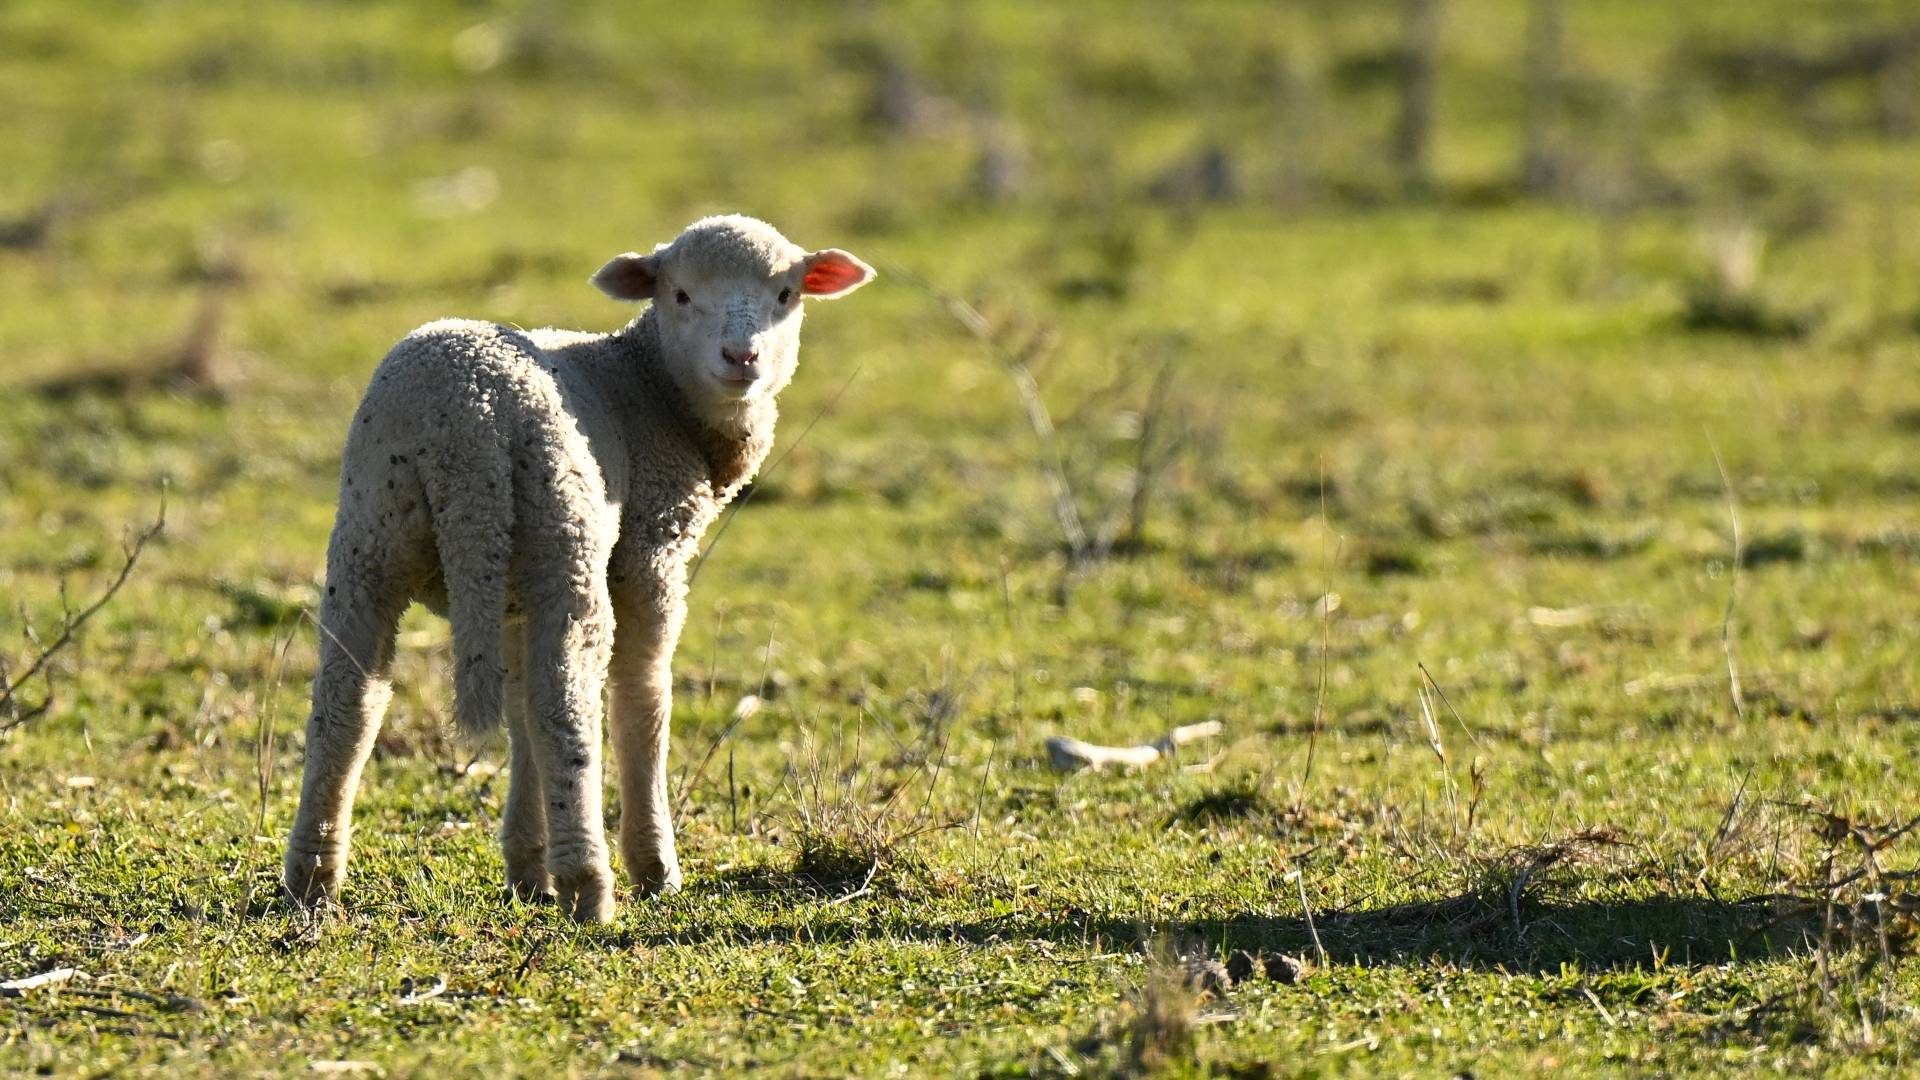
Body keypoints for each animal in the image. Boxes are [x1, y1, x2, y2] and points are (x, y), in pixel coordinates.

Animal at [282, 215, 874, 922]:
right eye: (680, 295)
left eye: (786, 294)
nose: (742, 358)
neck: (647, 385)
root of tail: (466, 423)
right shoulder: (651, 551)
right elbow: (642, 701)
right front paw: (653, 867)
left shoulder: (512, 595)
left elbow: (516, 709)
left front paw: (526, 866)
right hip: (565, 539)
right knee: (566, 707)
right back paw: (590, 885)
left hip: (375, 537)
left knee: (347, 702)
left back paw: (312, 878)